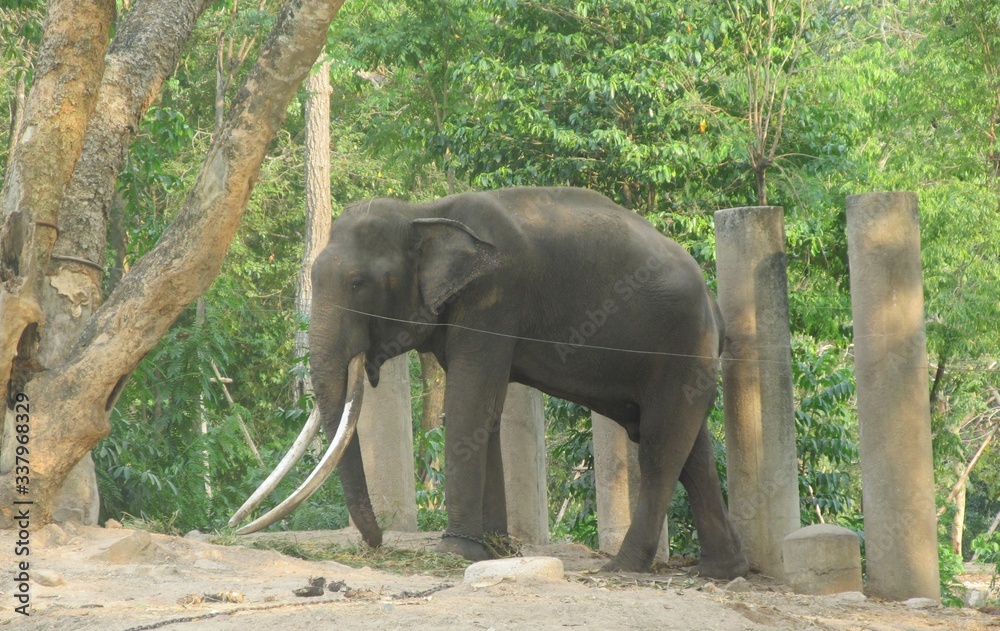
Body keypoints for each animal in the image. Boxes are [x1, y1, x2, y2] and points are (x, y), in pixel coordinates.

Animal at [231, 186, 749, 579]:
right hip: (686, 359)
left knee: (661, 449)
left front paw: (456, 551)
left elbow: (469, 402)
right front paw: (497, 550)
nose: (376, 544)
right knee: (692, 451)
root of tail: (715, 306)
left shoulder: (495, 297)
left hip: (680, 348)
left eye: (359, 283)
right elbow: (487, 411)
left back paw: (622, 568)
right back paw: (723, 571)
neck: (423, 212)